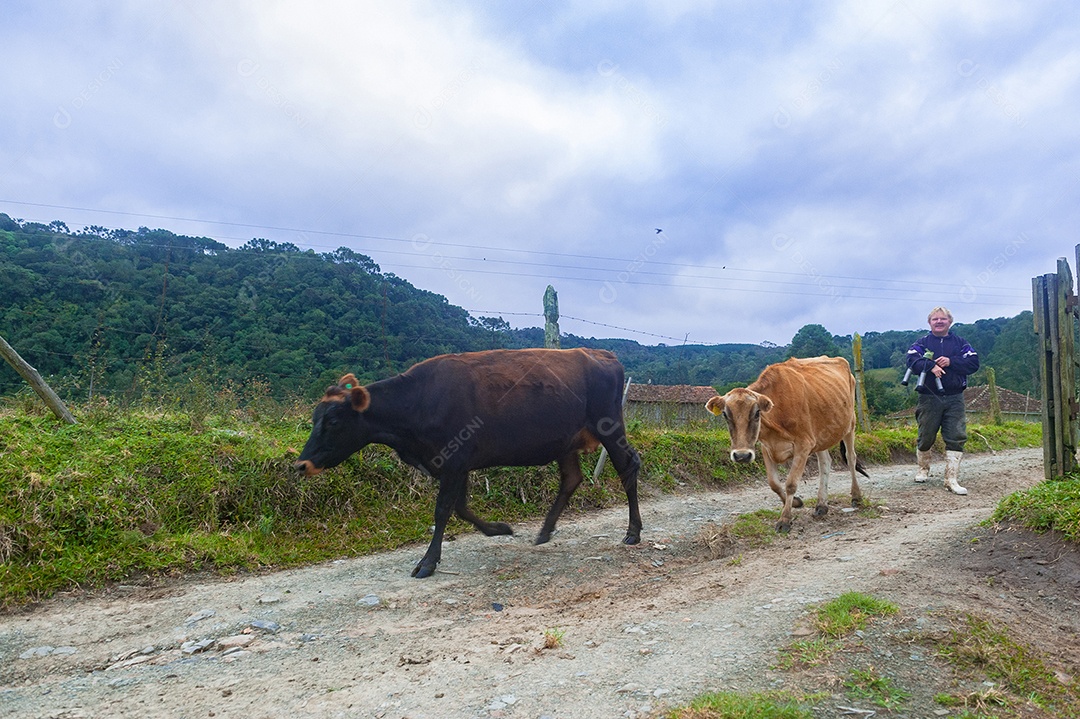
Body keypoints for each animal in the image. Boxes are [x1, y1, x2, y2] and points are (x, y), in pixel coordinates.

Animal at [294, 348, 643, 578]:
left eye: (334, 422)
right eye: (314, 418)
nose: (301, 465)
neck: (419, 402)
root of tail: (602, 354)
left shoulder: (454, 460)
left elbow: (443, 510)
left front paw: (427, 562)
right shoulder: (457, 465)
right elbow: (460, 507)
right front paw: (498, 529)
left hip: (609, 426)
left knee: (628, 466)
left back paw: (633, 532)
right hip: (565, 441)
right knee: (571, 479)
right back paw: (544, 531)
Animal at [704, 356, 869, 533]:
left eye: (757, 413)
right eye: (725, 414)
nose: (742, 455)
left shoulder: (804, 445)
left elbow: (790, 484)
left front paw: (784, 519)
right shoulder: (766, 447)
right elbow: (773, 483)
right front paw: (796, 502)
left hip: (850, 424)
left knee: (850, 458)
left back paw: (856, 496)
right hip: (821, 436)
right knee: (825, 462)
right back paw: (821, 505)